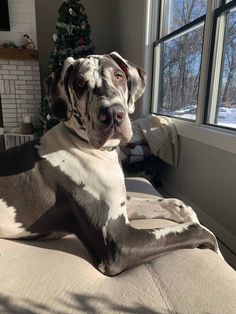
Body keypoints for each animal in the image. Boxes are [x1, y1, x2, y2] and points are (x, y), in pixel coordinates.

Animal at [0, 51, 219, 274]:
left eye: (119, 76)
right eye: (80, 84)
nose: (113, 114)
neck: (91, 149)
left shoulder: (121, 205)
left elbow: (169, 203)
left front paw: (185, 212)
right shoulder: (119, 243)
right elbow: (195, 230)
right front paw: (213, 246)